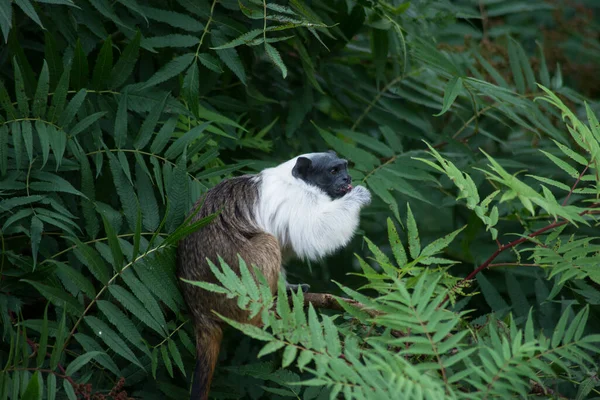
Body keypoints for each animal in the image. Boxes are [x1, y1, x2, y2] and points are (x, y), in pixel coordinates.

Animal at [176, 151, 370, 400]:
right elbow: (314, 233)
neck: (298, 181)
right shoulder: (297, 199)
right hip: (233, 288)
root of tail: (198, 307)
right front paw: (357, 197)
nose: (347, 179)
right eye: (334, 171)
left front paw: (287, 287)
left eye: (344, 168)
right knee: (267, 241)